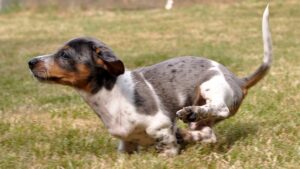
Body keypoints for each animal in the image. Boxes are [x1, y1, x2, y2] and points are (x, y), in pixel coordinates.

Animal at [28, 4, 272, 156]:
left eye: (64, 55)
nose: (30, 61)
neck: (109, 95)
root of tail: (238, 80)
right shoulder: (125, 143)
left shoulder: (160, 126)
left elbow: (168, 147)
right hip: (204, 118)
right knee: (208, 134)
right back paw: (186, 133)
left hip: (210, 86)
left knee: (219, 108)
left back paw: (190, 115)